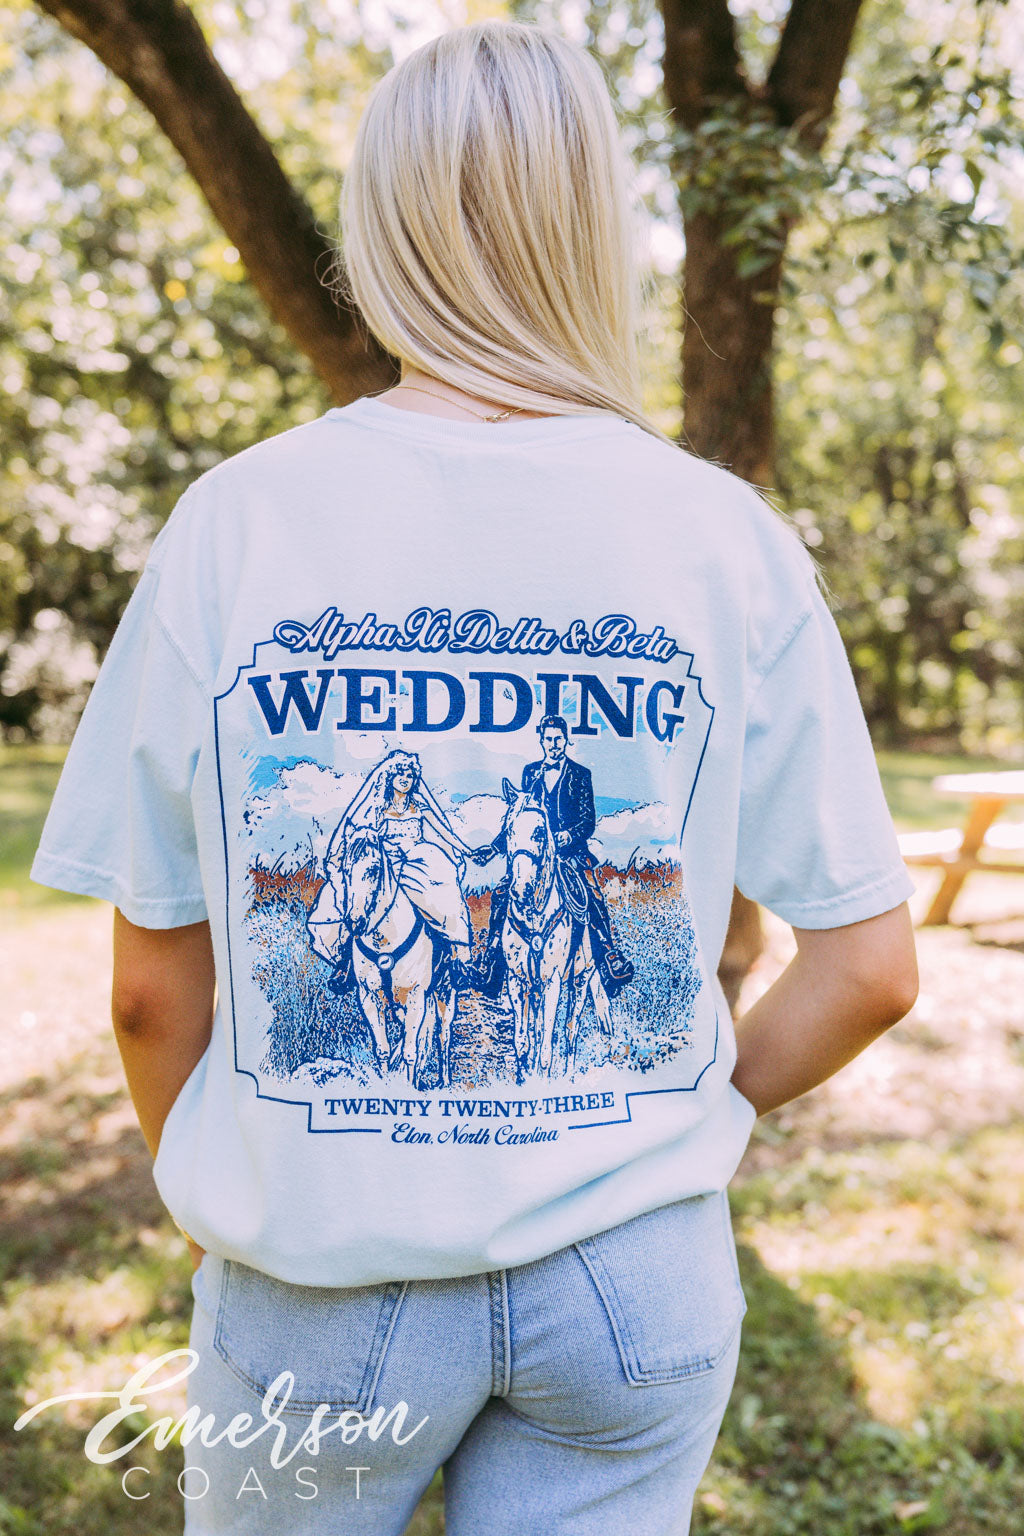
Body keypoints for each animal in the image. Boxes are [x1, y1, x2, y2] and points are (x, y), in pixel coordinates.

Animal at [307, 830, 455, 1090]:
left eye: (374, 869)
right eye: (346, 871)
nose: (355, 922)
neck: (385, 941)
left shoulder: (416, 997)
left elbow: (411, 1051)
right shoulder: (369, 997)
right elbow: (383, 1049)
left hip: (445, 992)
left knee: (443, 1034)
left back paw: (444, 1081)